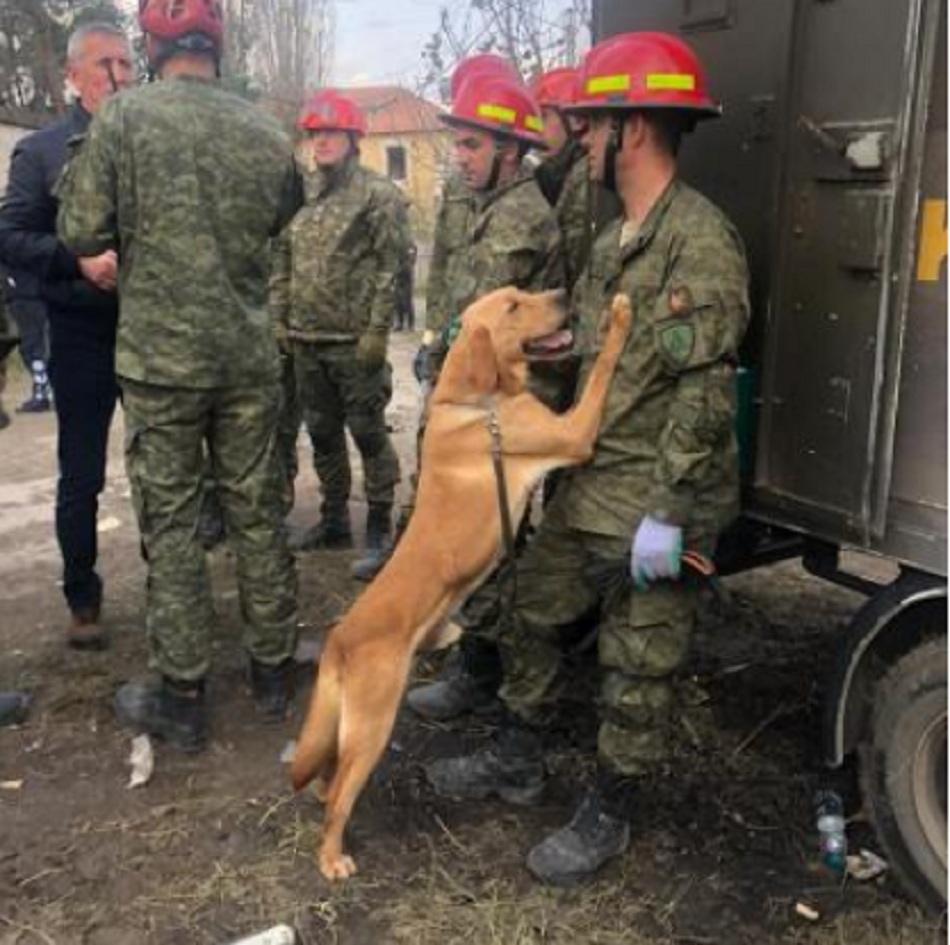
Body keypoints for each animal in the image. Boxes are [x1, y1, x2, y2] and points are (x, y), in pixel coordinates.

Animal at [290, 286, 632, 876]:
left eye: (527, 291)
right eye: (514, 306)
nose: (562, 292)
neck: (476, 405)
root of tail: (338, 639)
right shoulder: (574, 433)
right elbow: (606, 366)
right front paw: (621, 317)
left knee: (325, 779)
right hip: (373, 726)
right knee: (338, 798)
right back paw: (332, 858)